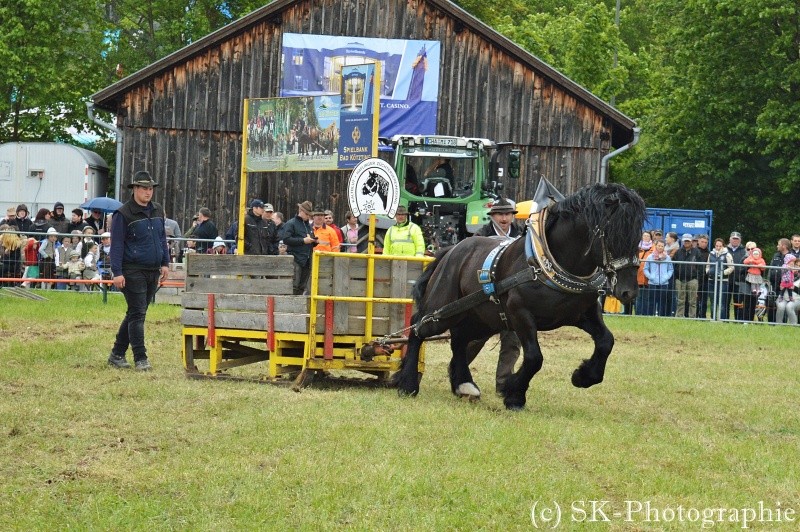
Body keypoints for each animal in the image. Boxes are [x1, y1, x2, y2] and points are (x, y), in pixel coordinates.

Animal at [396, 181, 648, 410]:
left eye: (637, 236)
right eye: (613, 235)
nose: (628, 291)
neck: (545, 264)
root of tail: (451, 251)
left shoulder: (583, 313)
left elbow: (606, 341)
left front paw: (583, 376)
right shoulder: (520, 314)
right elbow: (535, 357)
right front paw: (514, 394)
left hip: (482, 319)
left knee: (458, 339)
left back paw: (464, 385)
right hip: (442, 311)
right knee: (418, 328)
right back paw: (407, 384)